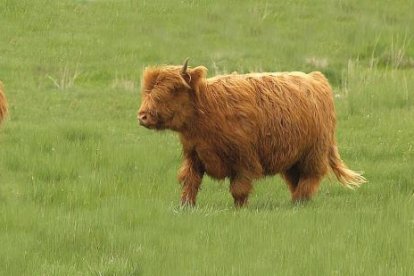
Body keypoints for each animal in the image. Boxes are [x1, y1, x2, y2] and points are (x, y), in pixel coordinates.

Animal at [137, 60, 366, 207]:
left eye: (173, 89)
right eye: (147, 90)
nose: (142, 116)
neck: (207, 110)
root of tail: (315, 78)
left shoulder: (244, 159)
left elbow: (239, 189)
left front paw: (240, 209)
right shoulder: (194, 156)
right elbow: (190, 182)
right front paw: (186, 207)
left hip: (313, 153)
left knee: (310, 178)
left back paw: (298, 203)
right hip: (292, 159)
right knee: (296, 180)